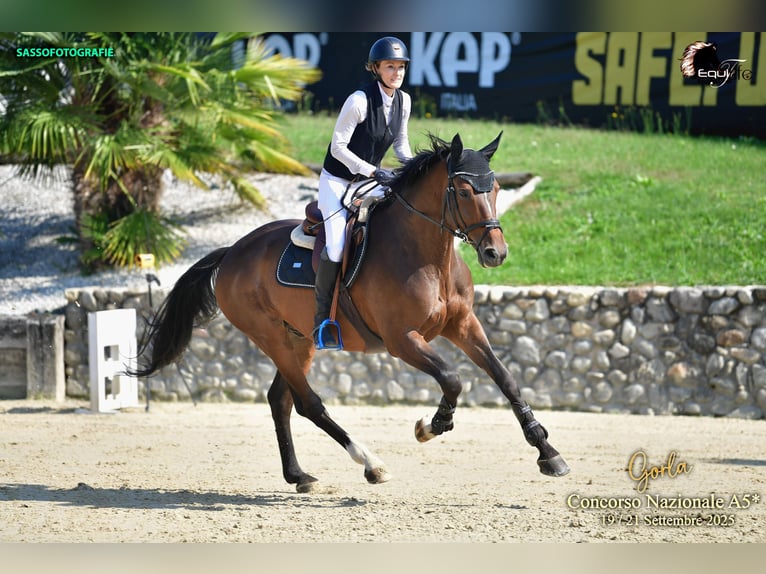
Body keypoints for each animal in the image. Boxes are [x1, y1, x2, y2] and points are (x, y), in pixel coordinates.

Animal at [132, 132, 570, 493]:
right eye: (462, 191)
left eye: (494, 188)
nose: (496, 253)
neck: (428, 256)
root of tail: (231, 252)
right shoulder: (402, 340)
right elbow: (452, 377)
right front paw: (433, 426)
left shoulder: (463, 325)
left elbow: (506, 378)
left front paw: (548, 453)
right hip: (270, 336)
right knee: (308, 403)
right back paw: (371, 464)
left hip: (300, 338)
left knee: (281, 400)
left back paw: (299, 476)